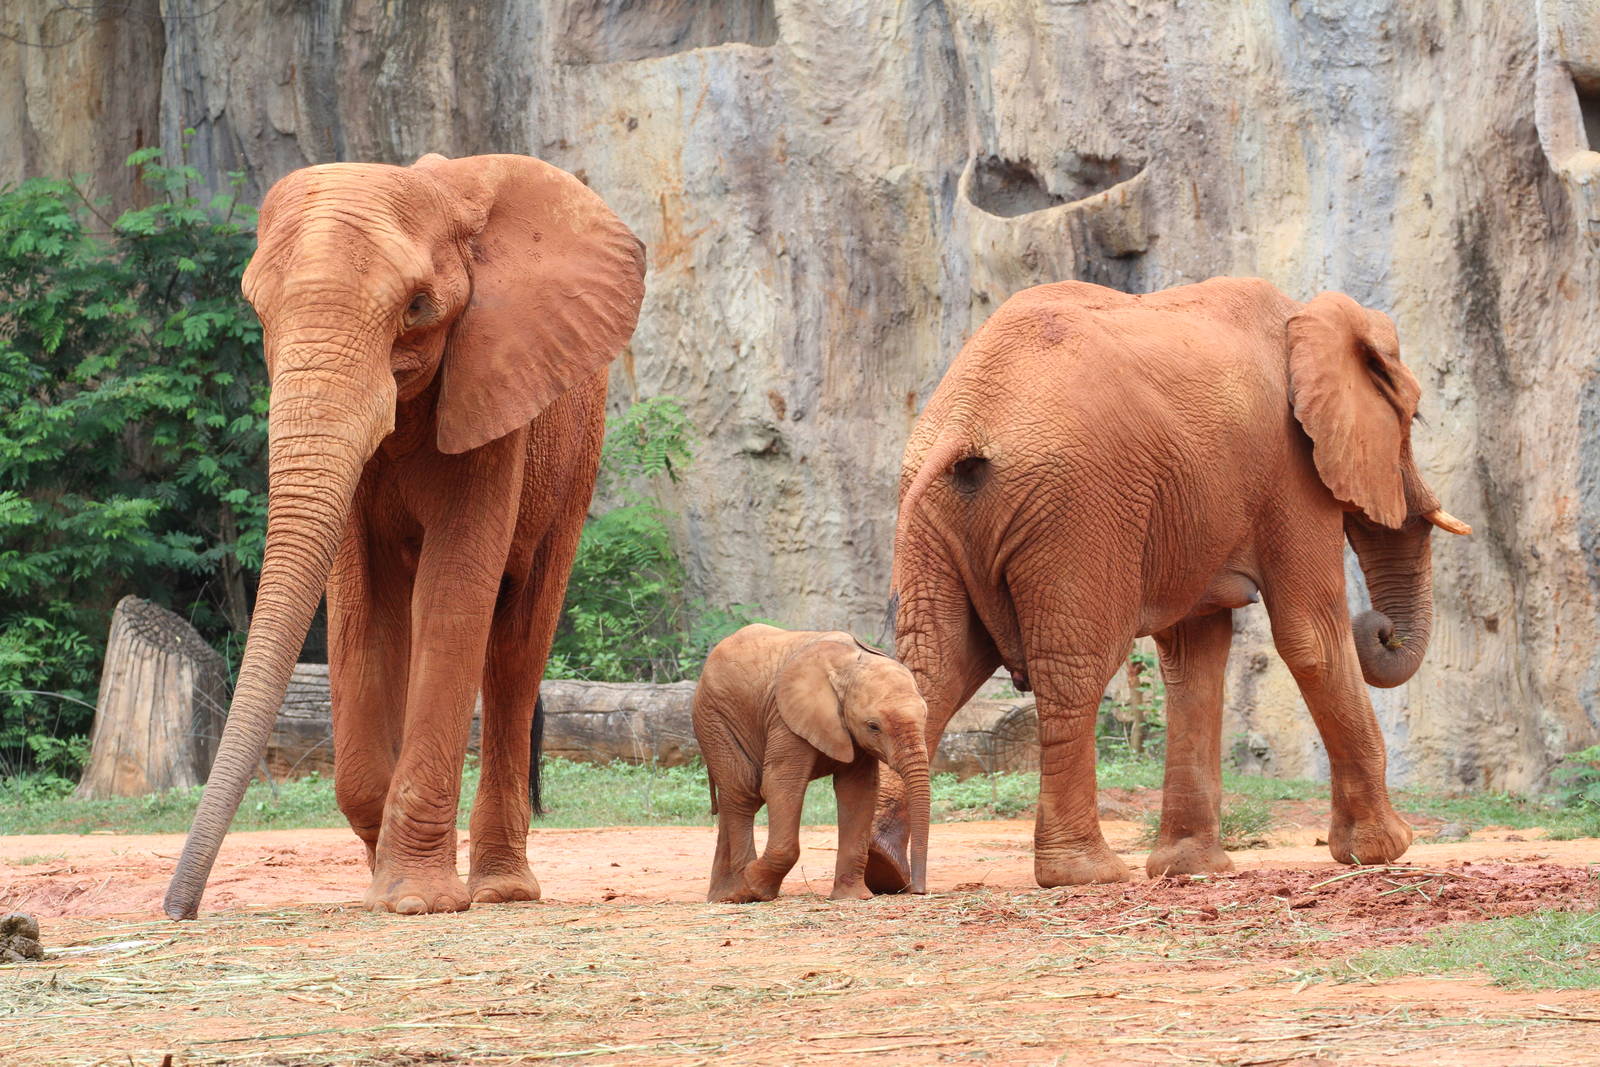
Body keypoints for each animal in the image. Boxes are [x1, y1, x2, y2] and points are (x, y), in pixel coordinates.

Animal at [162, 154, 645, 918]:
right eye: (258, 310)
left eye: (418, 307)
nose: (178, 910)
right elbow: (363, 604)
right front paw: (382, 885)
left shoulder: (494, 388)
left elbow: (455, 592)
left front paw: (416, 899)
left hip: (576, 455)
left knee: (516, 645)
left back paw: (502, 891)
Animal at [693, 625, 932, 902]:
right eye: (873, 726)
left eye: (925, 716)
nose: (918, 890)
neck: (849, 665)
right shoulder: (785, 717)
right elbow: (781, 784)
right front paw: (755, 884)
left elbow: (858, 792)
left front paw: (852, 897)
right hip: (714, 718)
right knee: (743, 791)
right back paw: (746, 891)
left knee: (737, 797)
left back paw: (724, 897)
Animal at [865, 277, 1469, 892]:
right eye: (1414, 418)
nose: (1384, 630)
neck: (1308, 316)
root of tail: (966, 421)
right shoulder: (1291, 468)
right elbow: (1313, 640)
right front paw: (1385, 849)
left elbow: (1193, 654)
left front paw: (1189, 868)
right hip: (1080, 508)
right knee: (1075, 669)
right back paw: (1087, 873)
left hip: (934, 515)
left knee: (937, 667)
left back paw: (884, 867)